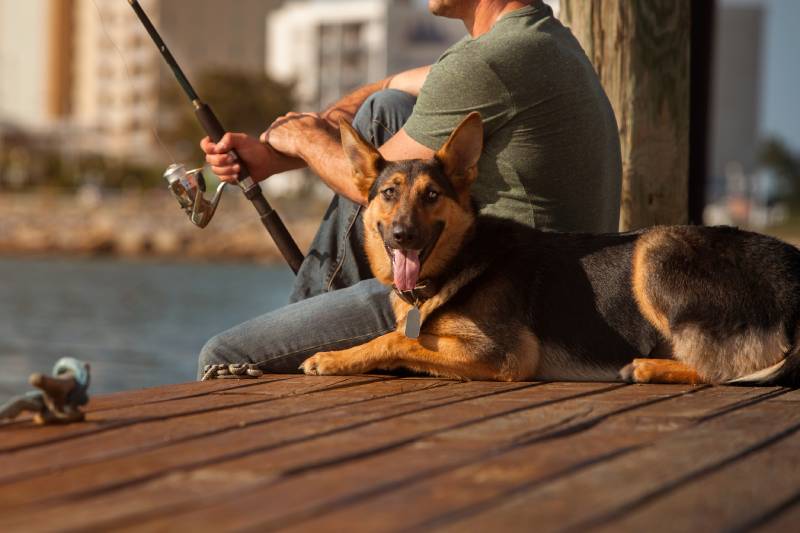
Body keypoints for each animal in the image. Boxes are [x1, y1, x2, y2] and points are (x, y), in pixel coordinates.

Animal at [302, 113, 800, 386]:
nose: (403, 235)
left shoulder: (506, 354)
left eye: (431, 196)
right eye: (389, 193)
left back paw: (648, 367)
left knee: (723, 367)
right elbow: (408, 340)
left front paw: (331, 357)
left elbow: (397, 340)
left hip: (655, 248)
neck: (462, 258)